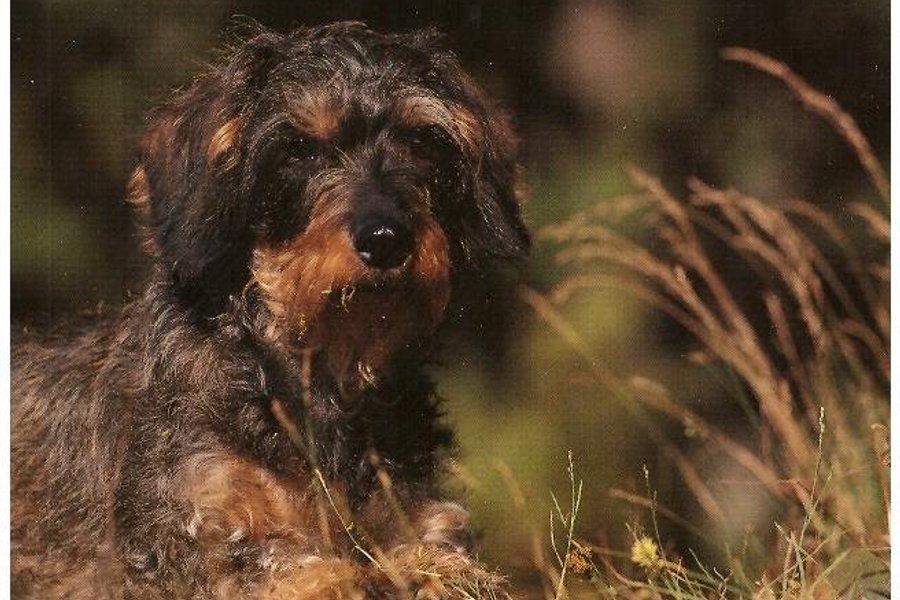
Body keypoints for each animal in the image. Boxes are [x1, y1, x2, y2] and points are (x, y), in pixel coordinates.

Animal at [11, 22, 529, 599]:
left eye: (421, 141)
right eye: (299, 148)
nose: (386, 239)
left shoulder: (426, 521)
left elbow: (441, 560)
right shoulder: (193, 536)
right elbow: (297, 567)